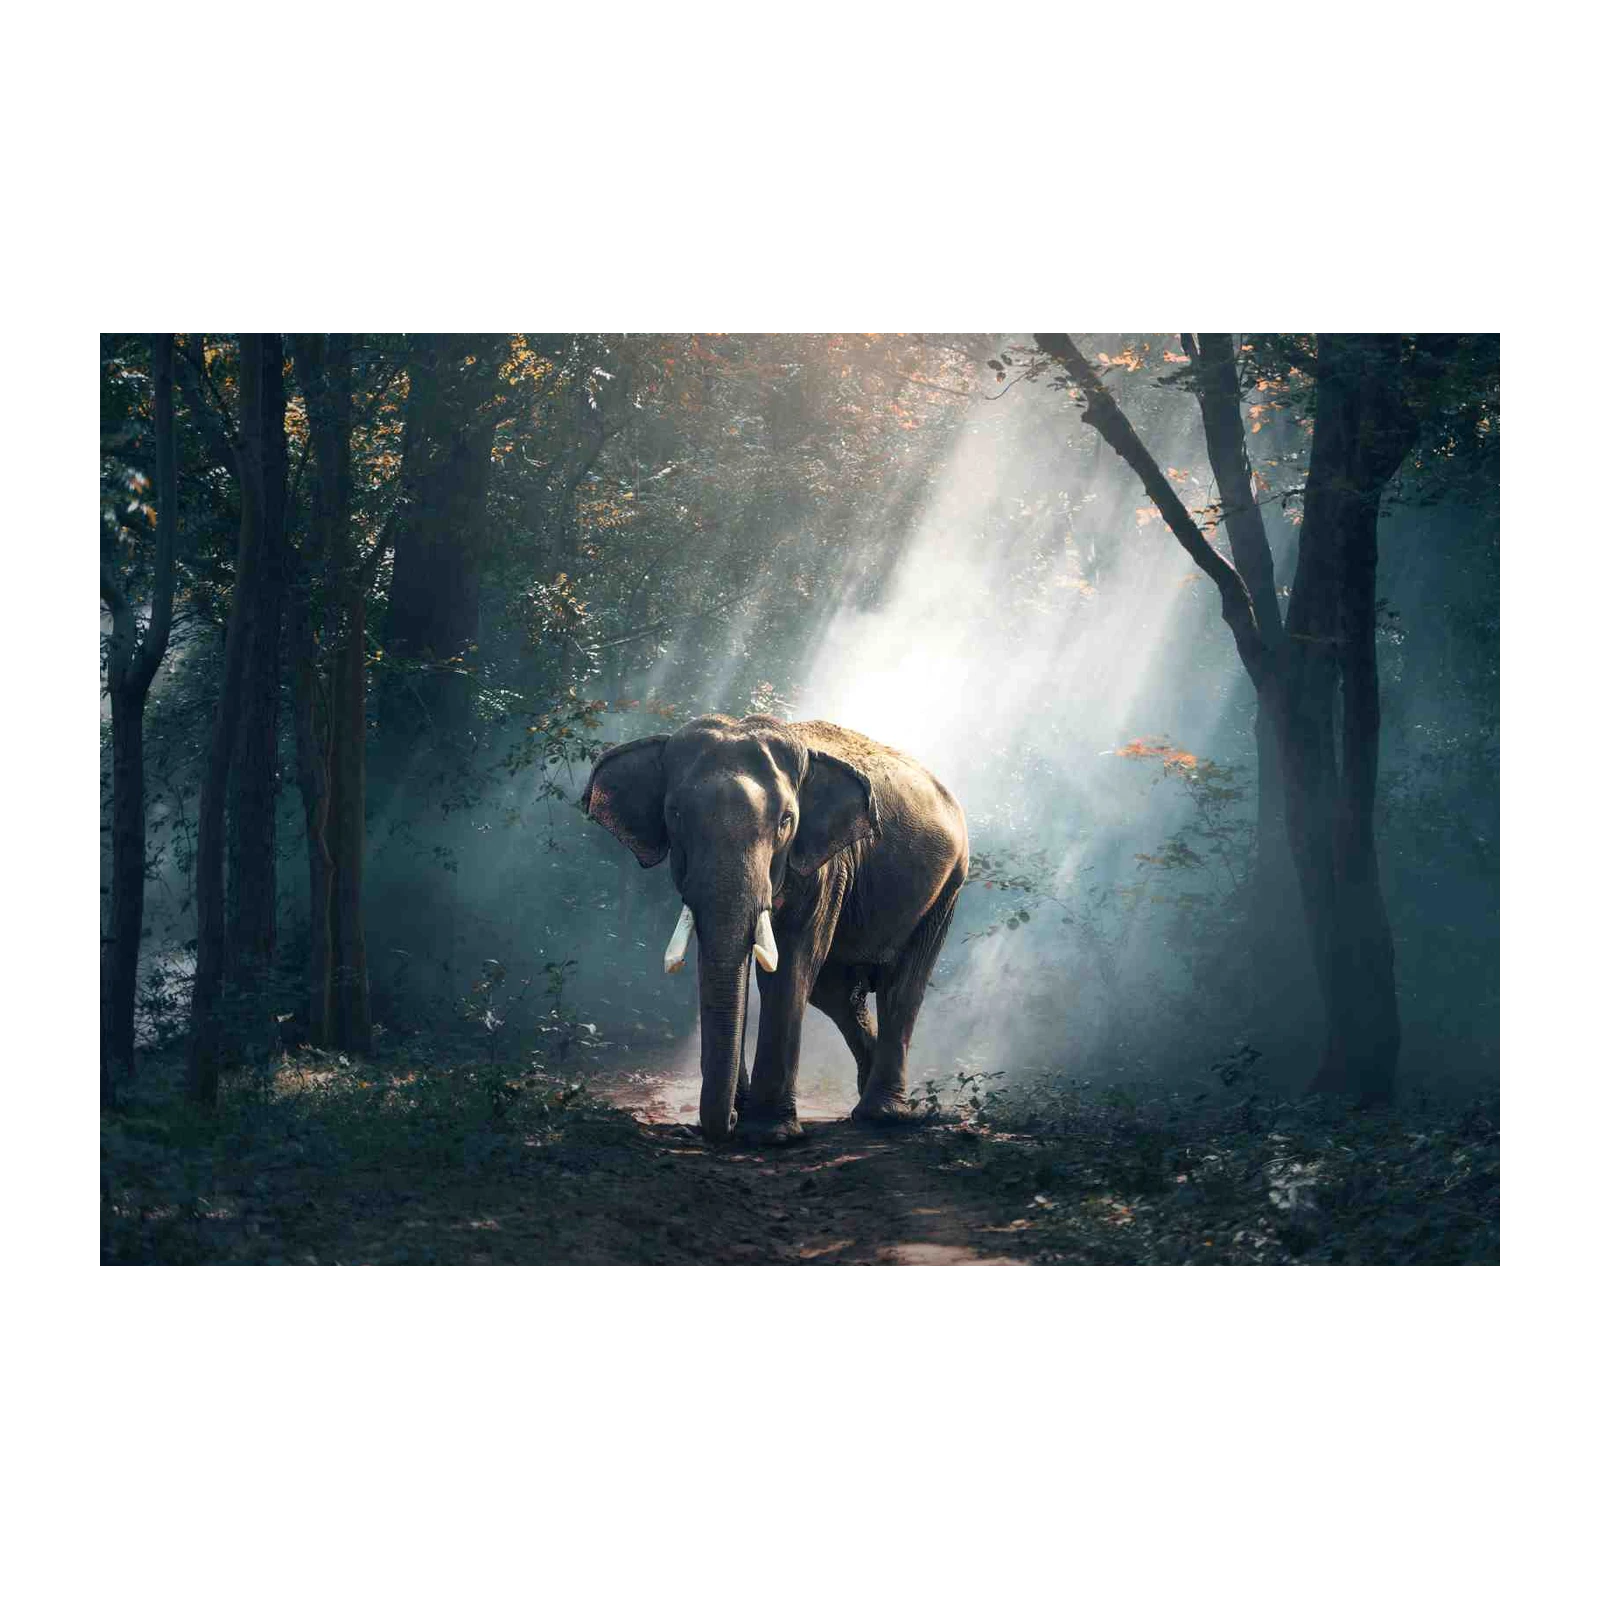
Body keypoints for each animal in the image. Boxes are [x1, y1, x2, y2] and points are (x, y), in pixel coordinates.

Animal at [581, 714, 968, 1145]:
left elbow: (790, 967)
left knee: (901, 987)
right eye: (675, 814)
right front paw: (745, 1115)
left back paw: (883, 1115)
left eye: (786, 821)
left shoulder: (825, 866)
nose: (728, 1122)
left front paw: (770, 1134)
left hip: (948, 886)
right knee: (835, 993)